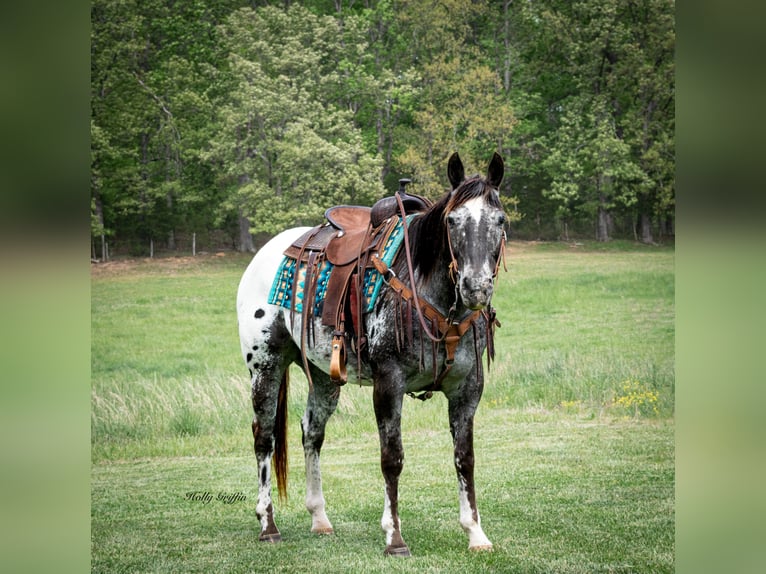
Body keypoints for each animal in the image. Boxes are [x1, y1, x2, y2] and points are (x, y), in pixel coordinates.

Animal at [237, 153, 508, 560]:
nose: (475, 287)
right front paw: (394, 537)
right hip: (265, 366)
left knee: (311, 432)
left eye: (500, 220)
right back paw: (268, 524)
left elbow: (465, 459)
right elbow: (391, 458)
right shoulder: (388, 384)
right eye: (451, 220)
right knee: (264, 438)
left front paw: (476, 533)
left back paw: (319, 518)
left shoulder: (467, 390)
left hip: (324, 376)